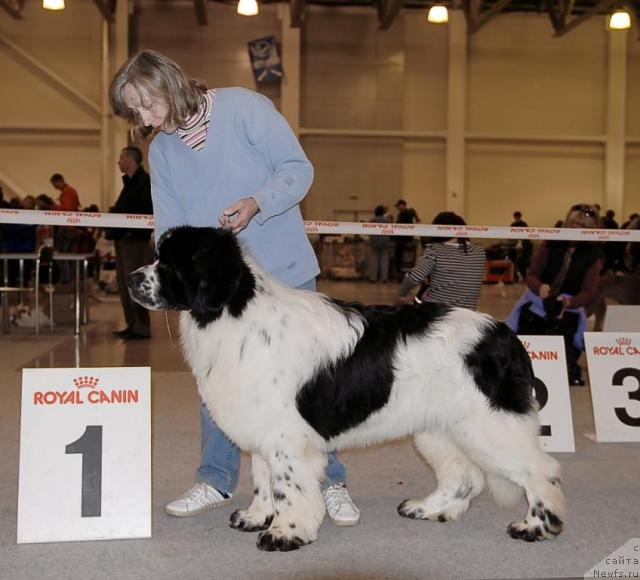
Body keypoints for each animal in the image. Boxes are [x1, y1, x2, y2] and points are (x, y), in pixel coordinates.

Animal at [129, 227, 564, 552]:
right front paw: (256, 517)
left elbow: (287, 486)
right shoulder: (264, 429)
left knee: (540, 469)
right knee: (466, 476)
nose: (133, 279)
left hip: (490, 425)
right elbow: (263, 479)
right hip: (440, 427)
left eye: (170, 262)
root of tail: (505, 335)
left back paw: (535, 526)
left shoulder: (288, 437)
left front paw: (285, 533)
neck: (234, 313)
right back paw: (427, 509)